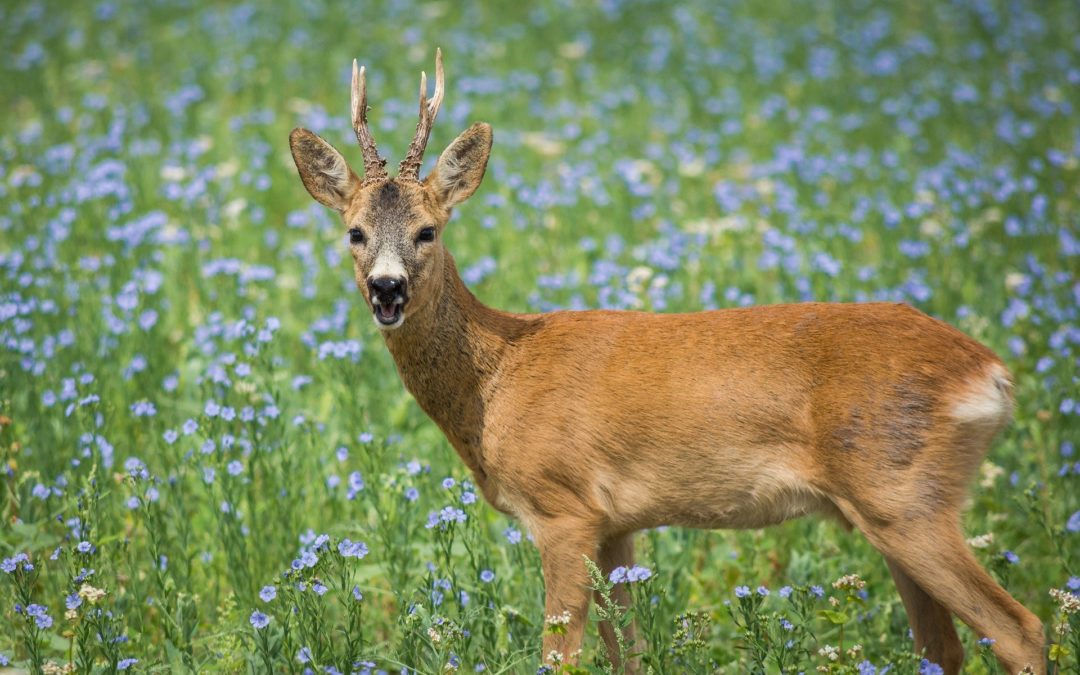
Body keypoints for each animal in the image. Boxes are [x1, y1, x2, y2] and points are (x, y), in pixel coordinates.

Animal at [289, 49, 1045, 669]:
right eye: (354, 231)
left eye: (427, 230)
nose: (387, 288)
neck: (497, 379)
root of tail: (991, 372)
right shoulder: (617, 522)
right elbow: (629, 651)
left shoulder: (563, 508)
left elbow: (561, 655)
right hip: (897, 509)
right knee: (943, 647)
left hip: (904, 495)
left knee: (1020, 629)